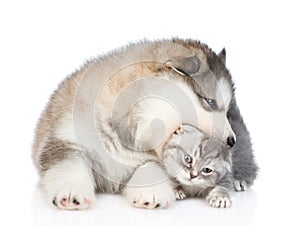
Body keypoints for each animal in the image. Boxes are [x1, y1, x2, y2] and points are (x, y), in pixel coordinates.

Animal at [32, 38, 253, 210]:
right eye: (210, 102)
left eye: (227, 111)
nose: (231, 141)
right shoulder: (64, 140)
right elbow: (69, 165)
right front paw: (71, 192)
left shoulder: (151, 158)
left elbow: (151, 169)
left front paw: (151, 193)